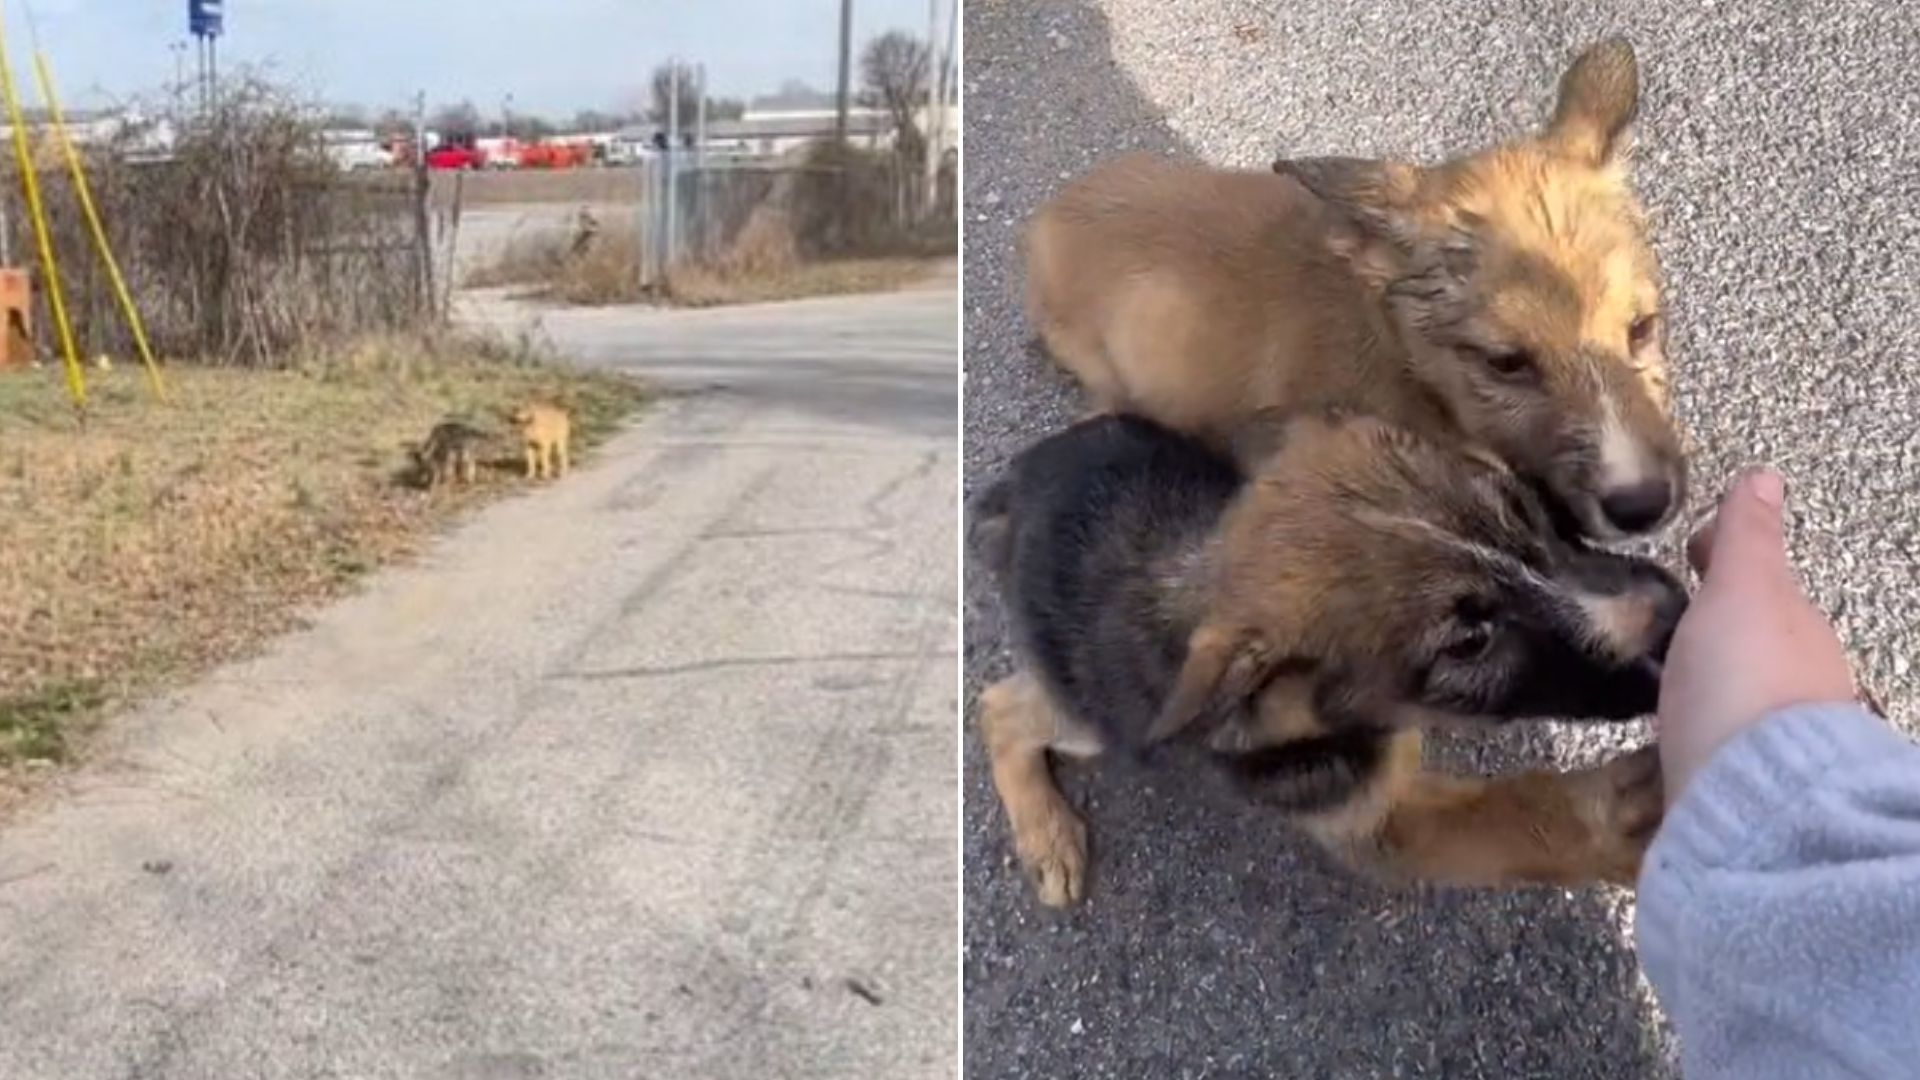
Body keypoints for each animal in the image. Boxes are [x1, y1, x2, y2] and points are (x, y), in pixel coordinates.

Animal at [975, 407, 1681, 903]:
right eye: (1468, 643)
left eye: (1526, 511)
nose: (1673, 612)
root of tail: (1017, 482)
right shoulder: (1378, 823)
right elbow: (1519, 819)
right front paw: (1633, 833)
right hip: (1090, 713)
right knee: (999, 706)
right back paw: (1048, 838)